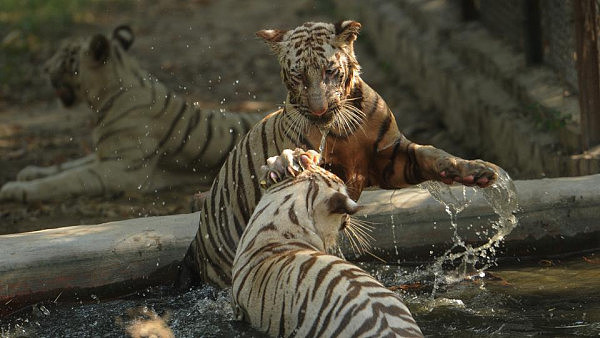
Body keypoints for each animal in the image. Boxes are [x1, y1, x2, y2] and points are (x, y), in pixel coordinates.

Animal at [0, 26, 264, 202]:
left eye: (64, 55)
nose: (44, 68)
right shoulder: (106, 154)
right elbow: (68, 165)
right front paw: (29, 172)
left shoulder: (121, 169)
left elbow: (67, 178)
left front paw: (16, 189)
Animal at [180, 20, 500, 288]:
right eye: (298, 75)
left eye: (329, 71)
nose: (319, 110)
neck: (345, 130)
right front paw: (291, 162)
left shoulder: (391, 158)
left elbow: (433, 153)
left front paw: (476, 171)